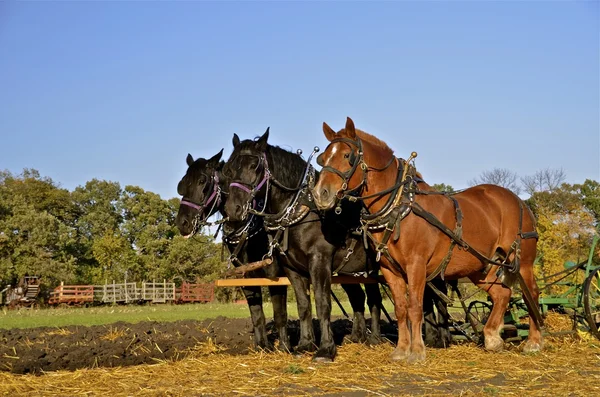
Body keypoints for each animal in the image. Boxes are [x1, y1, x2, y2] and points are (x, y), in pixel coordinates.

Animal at [221, 128, 384, 360]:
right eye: (228, 169)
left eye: (255, 166)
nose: (233, 210)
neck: (303, 210)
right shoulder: (292, 269)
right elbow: (303, 305)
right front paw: (305, 344)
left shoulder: (319, 261)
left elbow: (322, 303)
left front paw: (325, 349)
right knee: (360, 297)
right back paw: (358, 336)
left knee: (375, 298)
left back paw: (375, 338)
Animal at [314, 116, 544, 360]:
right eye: (323, 158)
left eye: (347, 156)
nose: (320, 193)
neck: (399, 206)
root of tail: (517, 200)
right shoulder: (389, 269)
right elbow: (400, 308)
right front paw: (401, 350)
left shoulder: (416, 264)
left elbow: (415, 306)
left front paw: (416, 351)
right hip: (482, 266)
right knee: (501, 293)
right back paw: (491, 337)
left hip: (523, 262)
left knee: (532, 294)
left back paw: (534, 341)